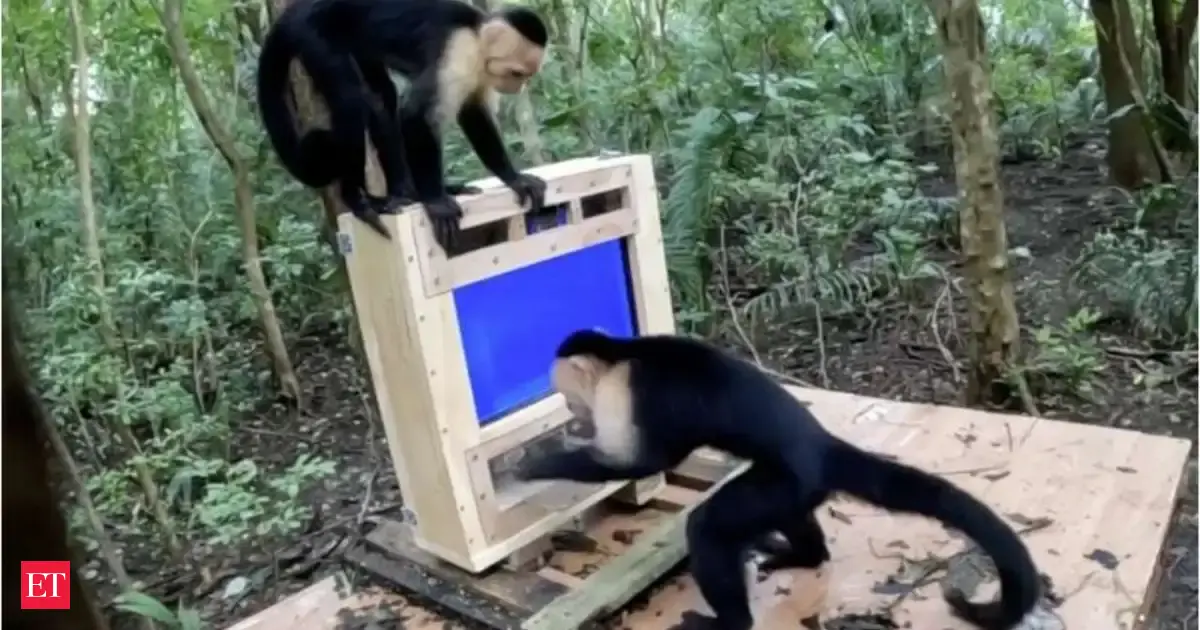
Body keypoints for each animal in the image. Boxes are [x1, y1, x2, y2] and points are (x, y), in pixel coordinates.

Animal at [256, 0, 549, 249]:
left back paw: (405, 192)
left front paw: (514, 178)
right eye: (517, 73)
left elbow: (473, 114)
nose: (518, 86)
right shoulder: (458, 53)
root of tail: (295, 11)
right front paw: (436, 202)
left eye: (525, 75)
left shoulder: (478, 70)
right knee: (350, 102)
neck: (476, 35)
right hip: (313, 35)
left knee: (381, 97)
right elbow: (415, 115)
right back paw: (357, 200)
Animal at [515, 329, 1043, 630]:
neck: (625, 354)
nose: (574, 414)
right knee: (791, 520)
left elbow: (641, 463)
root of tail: (822, 444)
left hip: (787, 479)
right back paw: (801, 554)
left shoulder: (626, 394)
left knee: (709, 525)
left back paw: (730, 622)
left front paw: (536, 463)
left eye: (571, 398)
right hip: (796, 487)